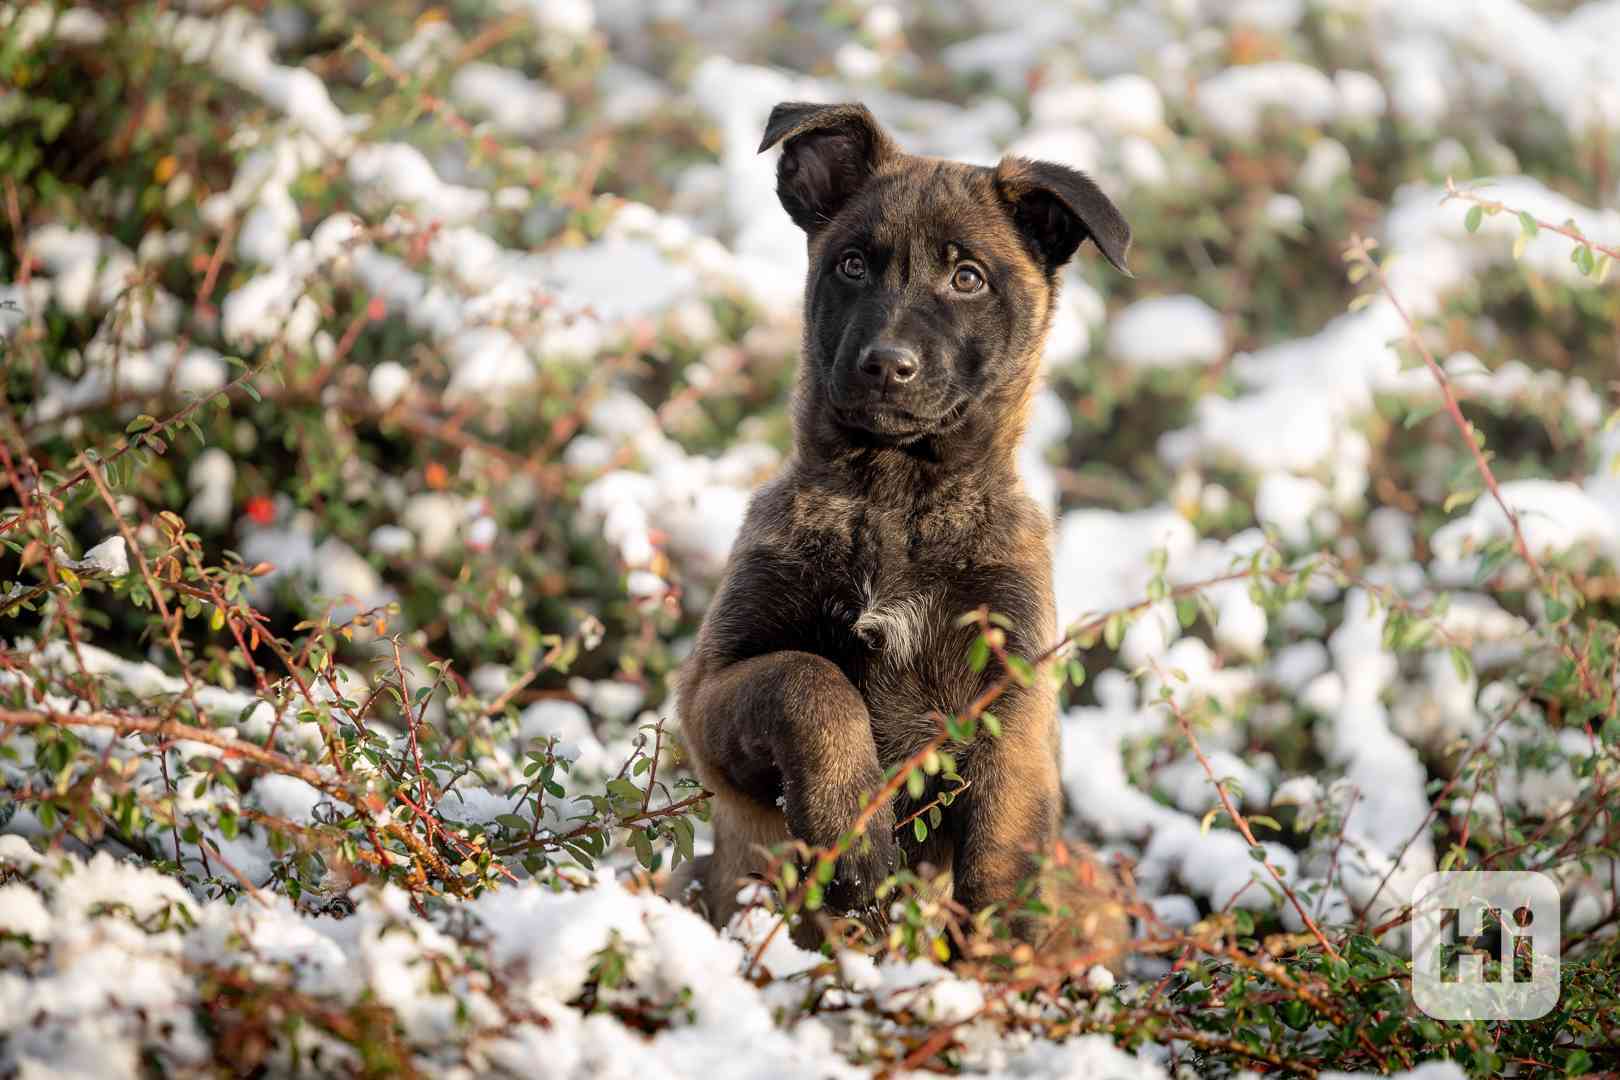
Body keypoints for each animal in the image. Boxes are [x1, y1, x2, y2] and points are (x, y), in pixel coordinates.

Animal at [677, 101, 1134, 939]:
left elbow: (1002, 852)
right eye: (853, 265)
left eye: (967, 278)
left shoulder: (1013, 710)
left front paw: (996, 957)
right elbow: (810, 678)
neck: (894, 503)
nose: (887, 365)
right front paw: (852, 831)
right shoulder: (707, 698)